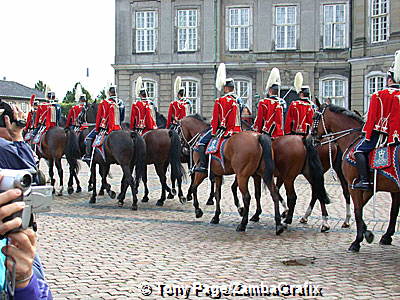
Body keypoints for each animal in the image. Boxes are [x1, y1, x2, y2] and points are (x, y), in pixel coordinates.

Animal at [314, 104, 398, 252]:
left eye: (314, 117)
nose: (311, 136)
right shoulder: (373, 188)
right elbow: (384, 210)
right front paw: (370, 233)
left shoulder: (354, 186)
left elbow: (358, 210)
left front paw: (357, 241)